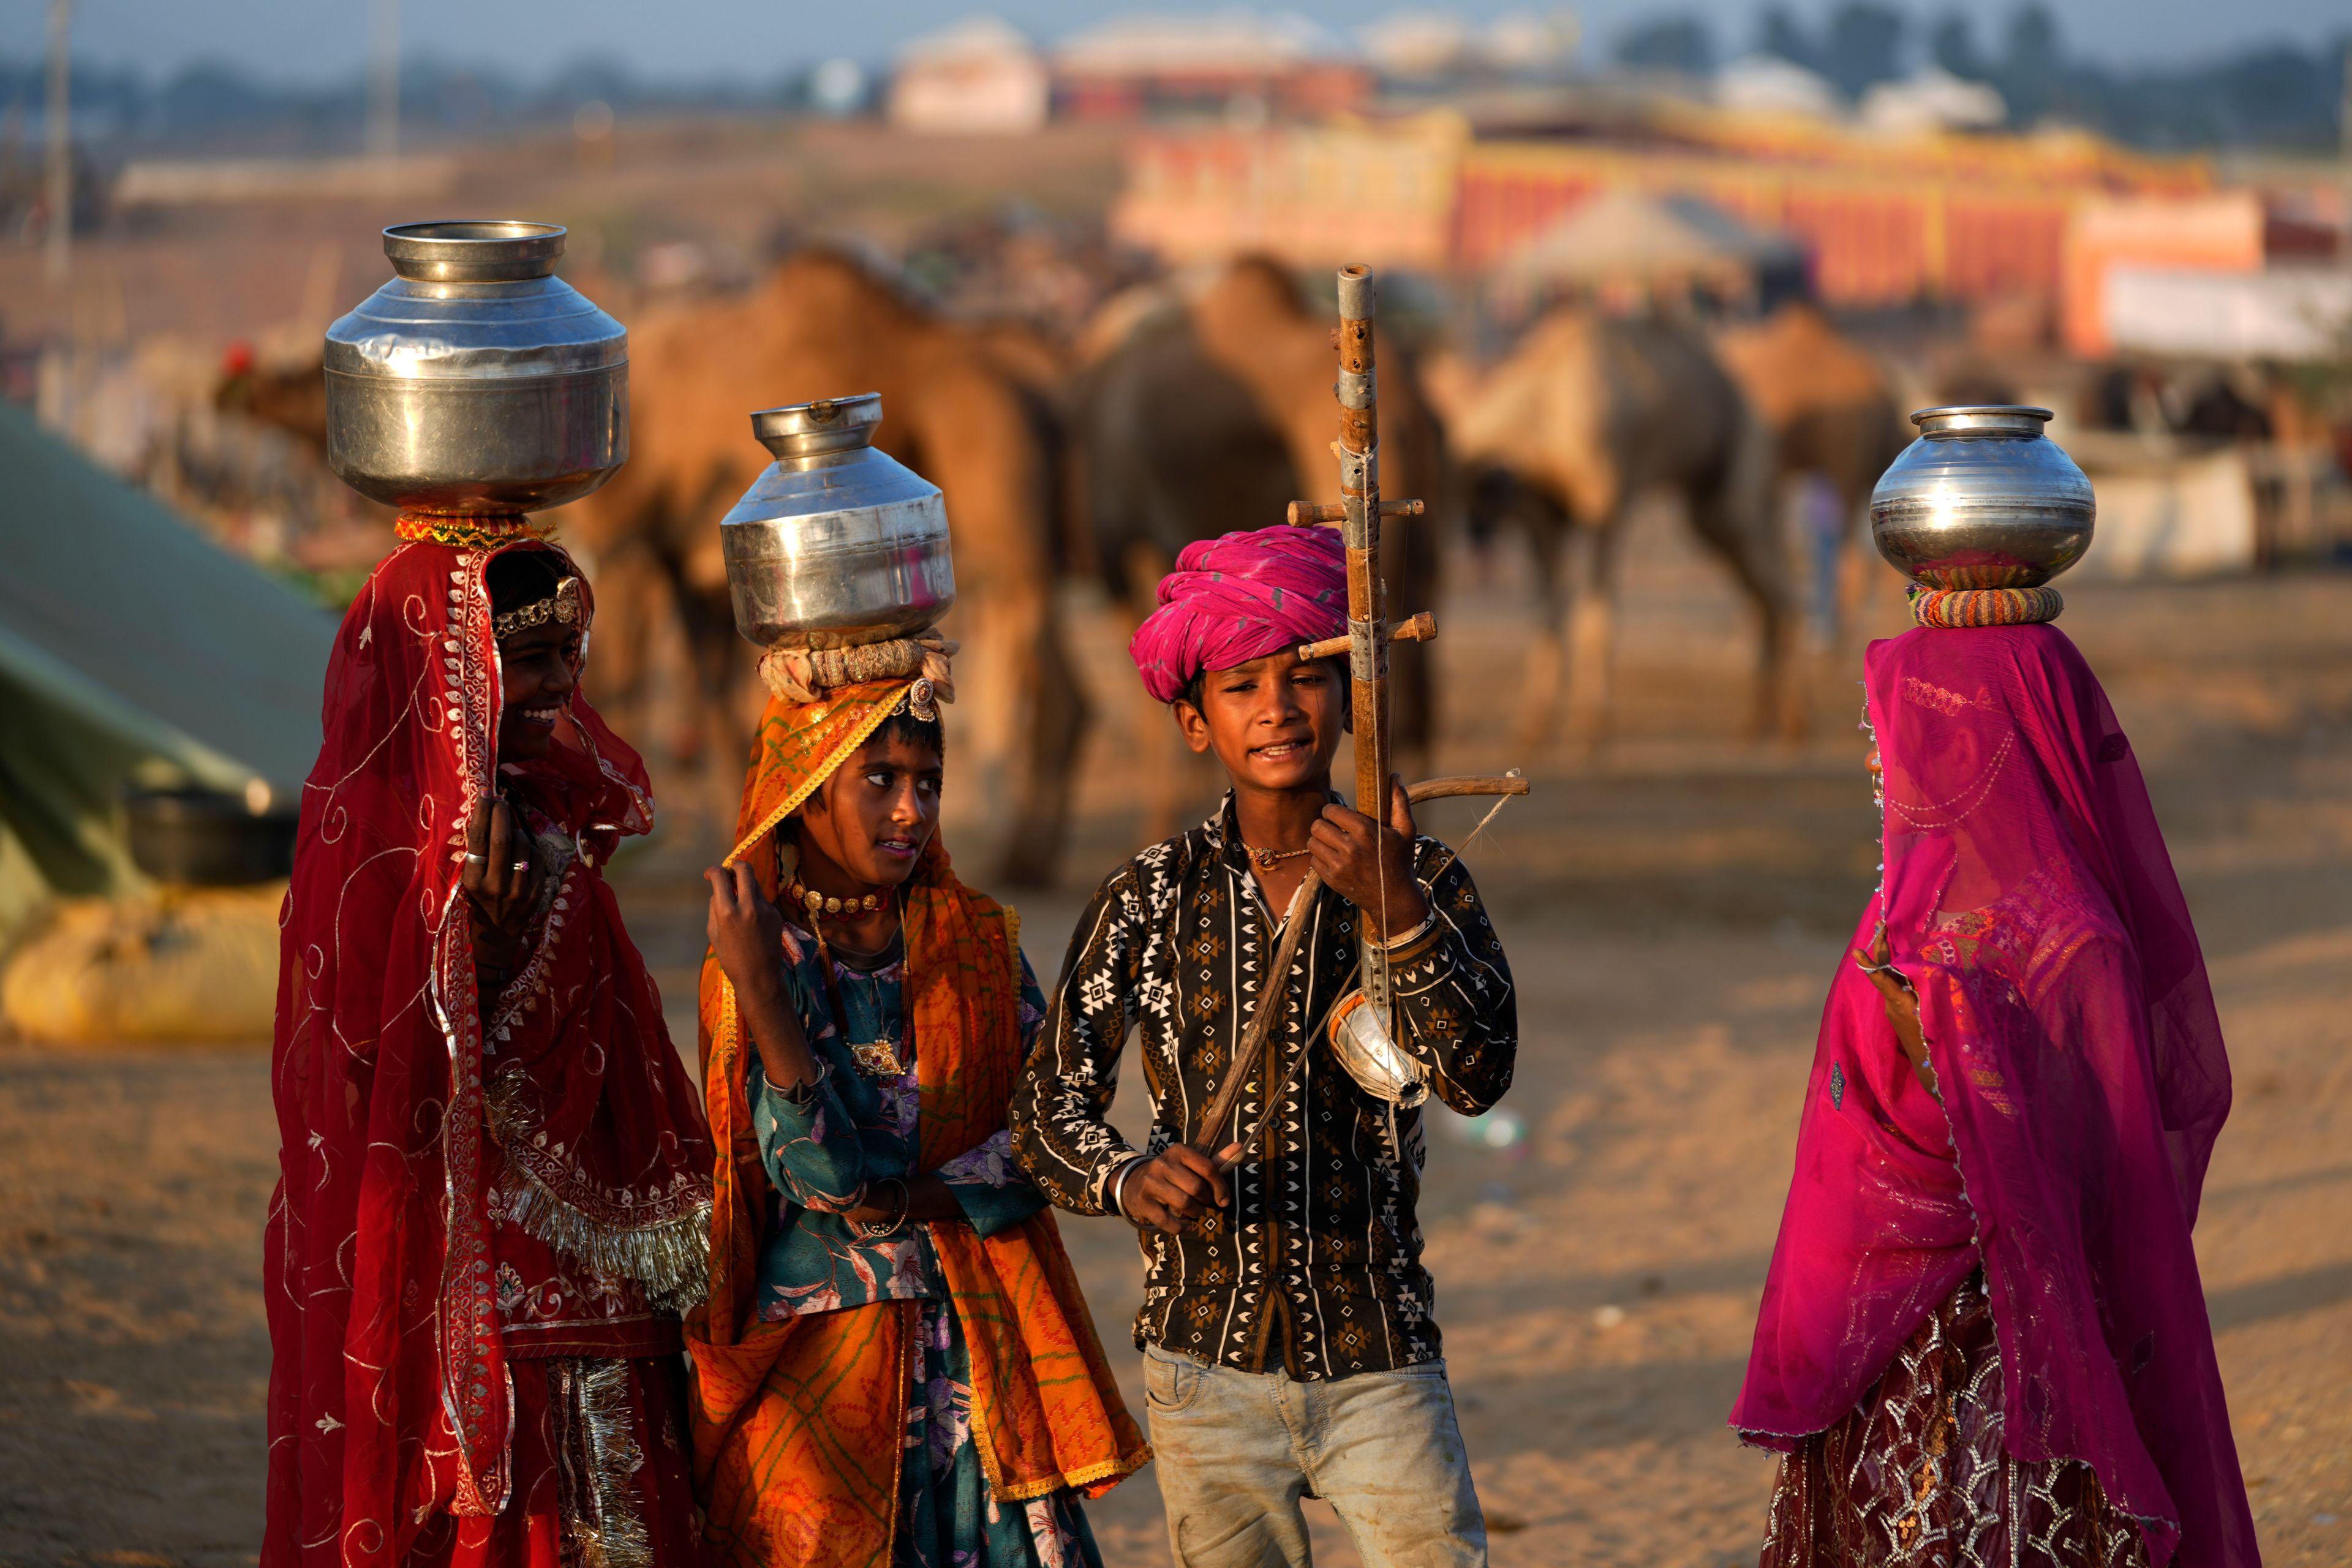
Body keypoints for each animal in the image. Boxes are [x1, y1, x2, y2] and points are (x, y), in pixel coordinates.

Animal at [559, 246, 1082, 884]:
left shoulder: (646, 542)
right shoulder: (674, 556)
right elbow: (708, 686)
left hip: (1005, 523)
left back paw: (1013, 848)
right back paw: (1025, 851)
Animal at [1449, 310, 1796, 752]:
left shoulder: (1606, 511)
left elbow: (1595, 616)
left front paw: (1590, 729)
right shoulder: (1544, 521)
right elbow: (1549, 617)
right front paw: (1532, 727)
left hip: (1735, 494)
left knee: (1781, 595)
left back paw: (1792, 727)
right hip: (1709, 519)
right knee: (1763, 598)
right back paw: (1756, 722)